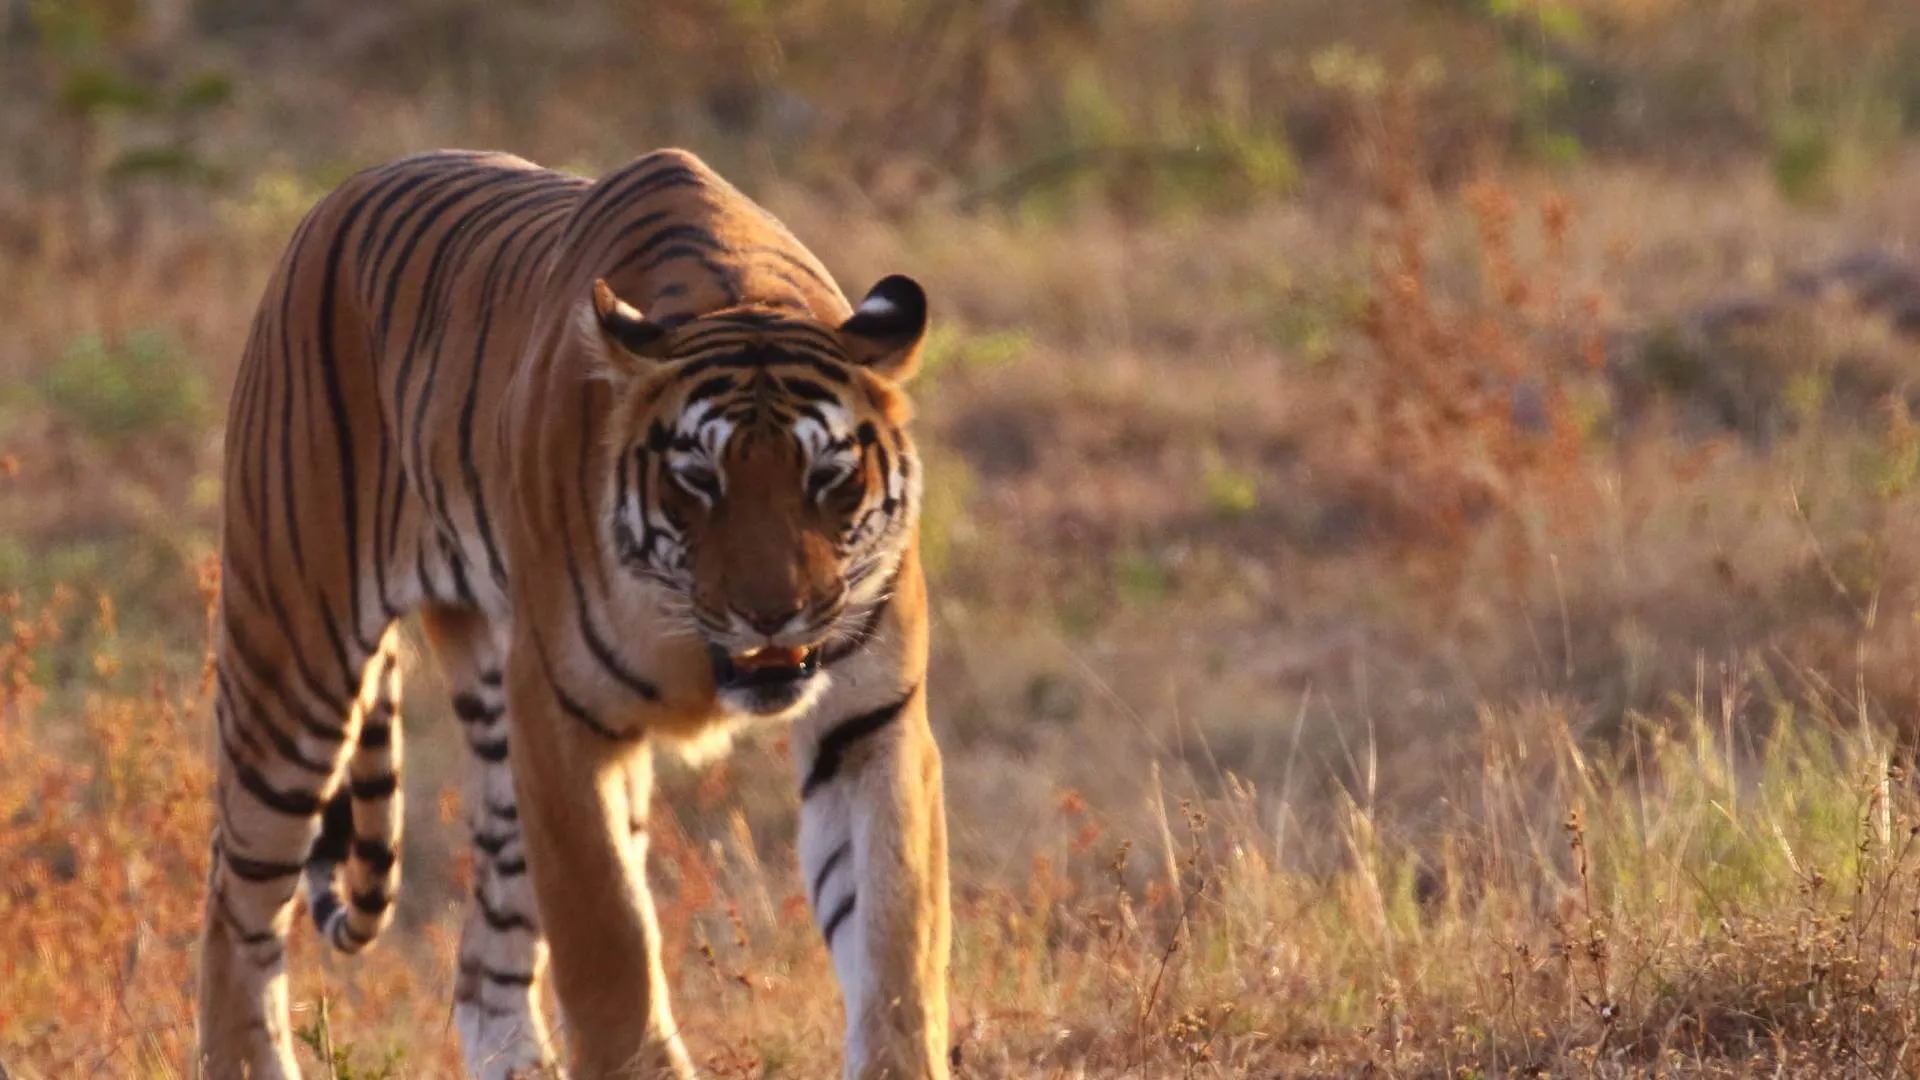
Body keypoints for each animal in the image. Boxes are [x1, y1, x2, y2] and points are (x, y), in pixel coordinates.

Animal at [196, 147, 950, 1080]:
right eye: (698, 480)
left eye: (829, 478)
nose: (774, 614)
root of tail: (337, 197)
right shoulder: (563, 719)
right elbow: (611, 943)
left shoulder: (870, 721)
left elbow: (894, 935)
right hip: (293, 663)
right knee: (236, 909)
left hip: (493, 725)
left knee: (483, 964)